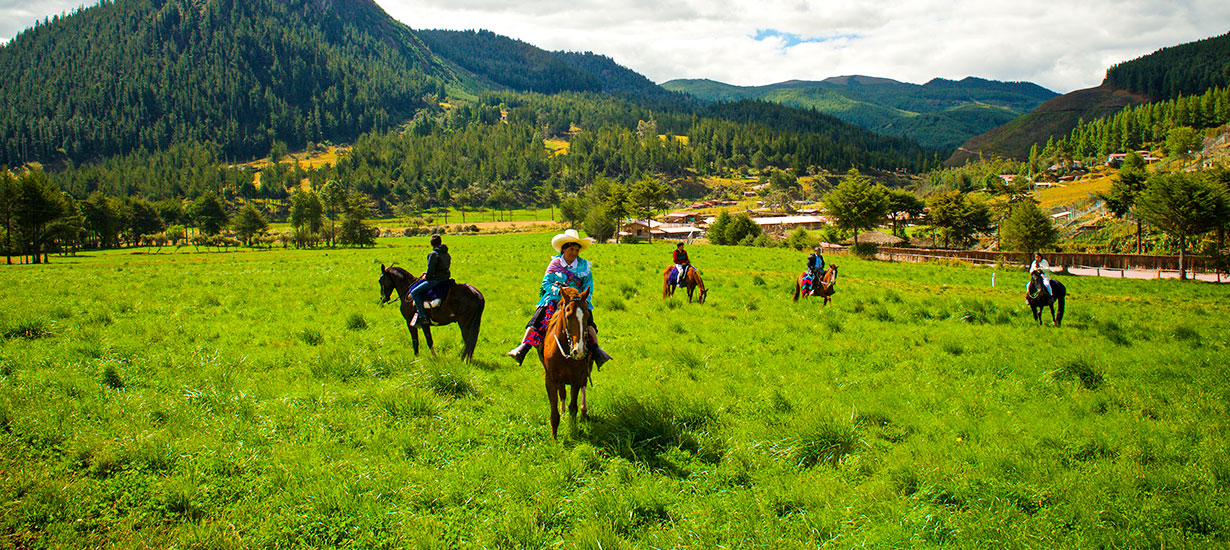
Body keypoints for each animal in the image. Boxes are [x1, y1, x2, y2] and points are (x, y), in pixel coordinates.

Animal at [541, 287, 592, 438]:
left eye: (587, 316)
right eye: (568, 316)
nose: (578, 351)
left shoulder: (577, 378)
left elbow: (573, 407)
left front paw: (573, 431)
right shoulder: (550, 380)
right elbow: (554, 414)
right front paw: (554, 439)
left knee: (584, 387)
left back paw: (584, 410)